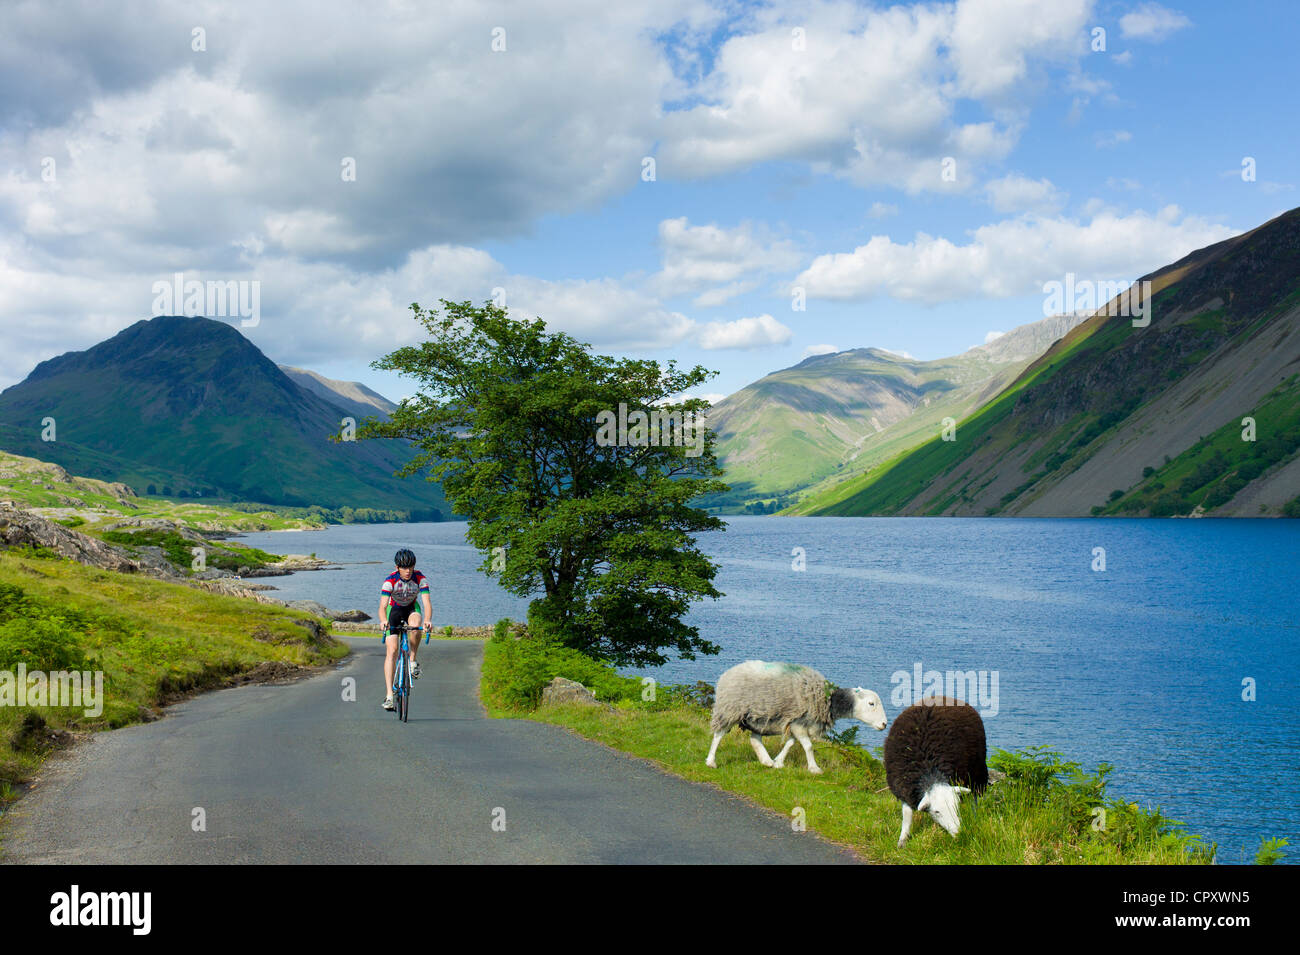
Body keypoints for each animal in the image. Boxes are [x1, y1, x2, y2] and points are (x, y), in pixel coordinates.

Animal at [707, 660, 889, 774]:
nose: (884, 724)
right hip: (730, 709)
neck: (828, 699)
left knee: (754, 739)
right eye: (871, 703)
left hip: (758, 717)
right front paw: (815, 769)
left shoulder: (797, 723)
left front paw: (779, 762)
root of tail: (726, 674)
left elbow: (790, 744)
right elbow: (808, 746)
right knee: (719, 735)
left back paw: (766, 761)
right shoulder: (800, 722)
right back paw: (711, 761)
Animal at [883, 696, 982, 847]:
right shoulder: (904, 787)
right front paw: (903, 840)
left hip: (976, 769)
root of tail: (943, 697)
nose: (958, 833)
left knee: (975, 797)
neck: (929, 770)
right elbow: (907, 815)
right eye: (937, 811)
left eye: (956, 806)